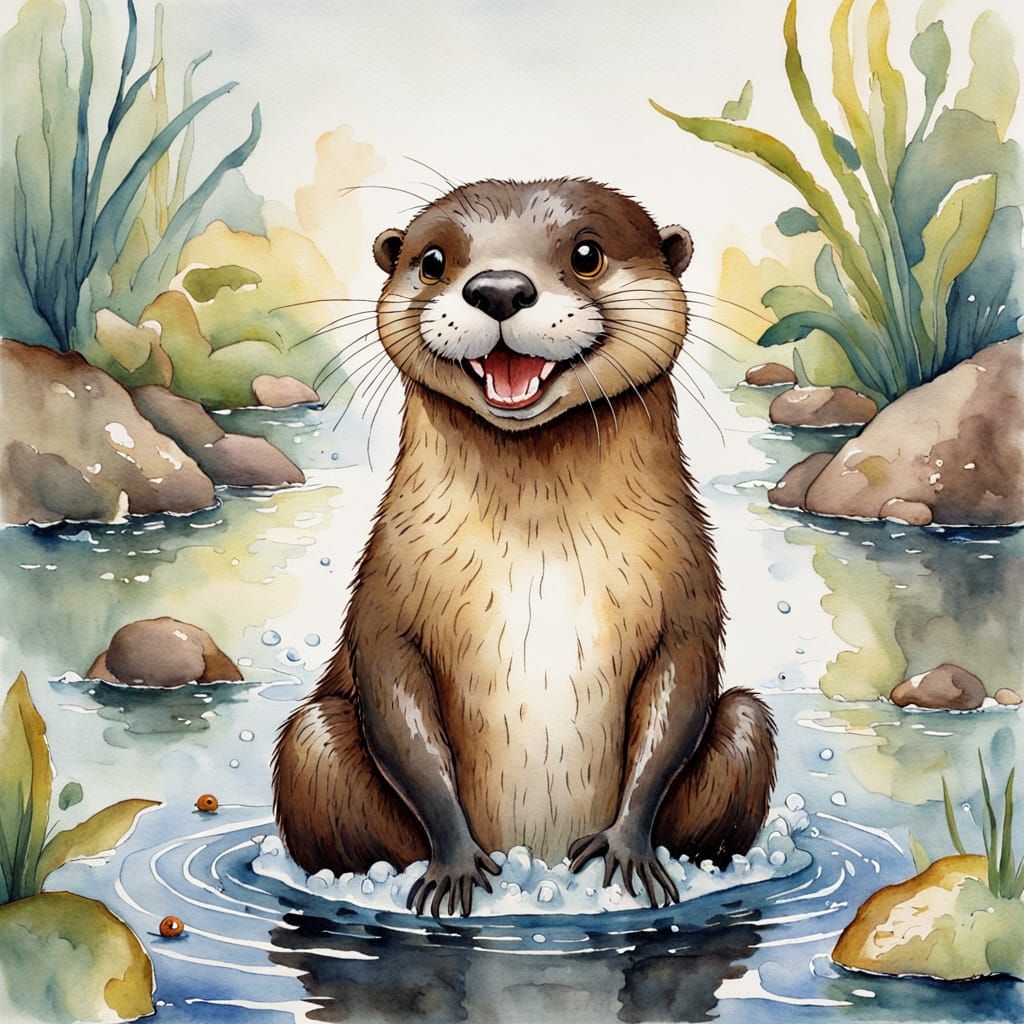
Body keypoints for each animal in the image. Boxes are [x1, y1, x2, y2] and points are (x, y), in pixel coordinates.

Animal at [272, 178, 776, 917]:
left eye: (587, 253)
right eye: (432, 260)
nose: (500, 289)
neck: (538, 552)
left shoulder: (687, 594)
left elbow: (677, 700)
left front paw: (626, 849)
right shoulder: (386, 595)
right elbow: (398, 711)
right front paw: (455, 863)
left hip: (745, 732)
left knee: (743, 719)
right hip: (313, 750)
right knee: (315, 738)